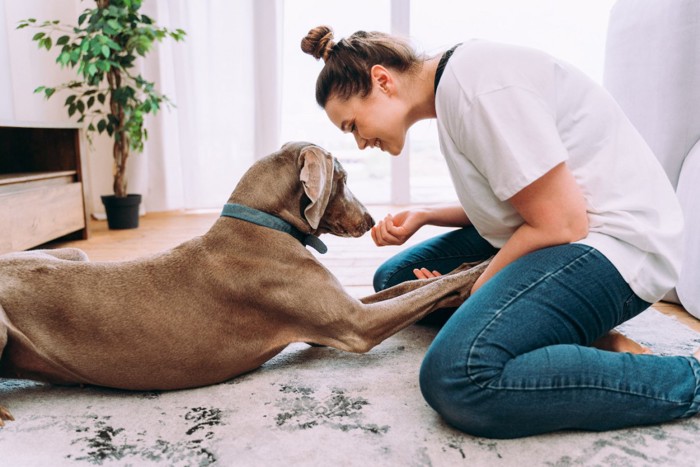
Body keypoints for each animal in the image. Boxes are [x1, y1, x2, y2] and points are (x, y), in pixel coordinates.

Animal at [0, 142, 486, 424]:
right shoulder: (355, 325)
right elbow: (424, 292)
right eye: (344, 178)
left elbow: (412, 287)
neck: (262, 224)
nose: (369, 221)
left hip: (73, 254)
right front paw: (482, 267)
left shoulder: (343, 313)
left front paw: (466, 264)